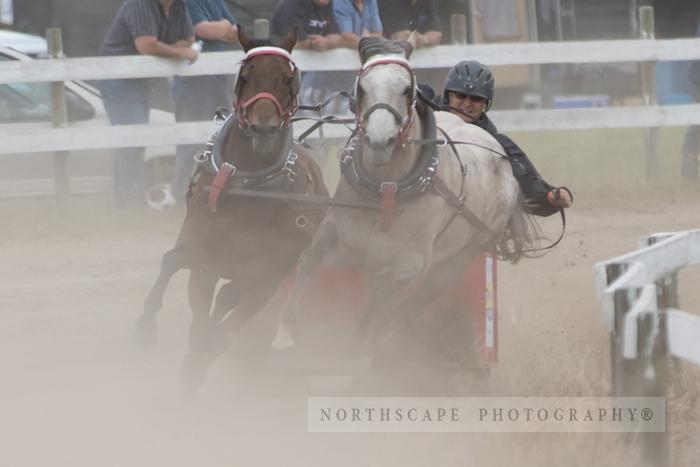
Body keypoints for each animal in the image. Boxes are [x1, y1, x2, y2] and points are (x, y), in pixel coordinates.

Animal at [136, 27, 328, 390]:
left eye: (289, 78)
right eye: (245, 76)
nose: (263, 129)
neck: (245, 184)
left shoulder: (265, 267)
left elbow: (227, 305)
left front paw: (200, 355)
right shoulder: (201, 249)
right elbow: (184, 279)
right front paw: (149, 327)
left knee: (234, 303)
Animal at [270, 38, 532, 362]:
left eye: (407, 88)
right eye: (362, 86)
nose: (380, 140)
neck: (385, 190)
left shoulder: (405, 265)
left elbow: (380, 299)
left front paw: (359, 350)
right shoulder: (336, 236)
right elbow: (307, 260)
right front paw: (284, 333)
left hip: (459, 259)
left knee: (414, 302)